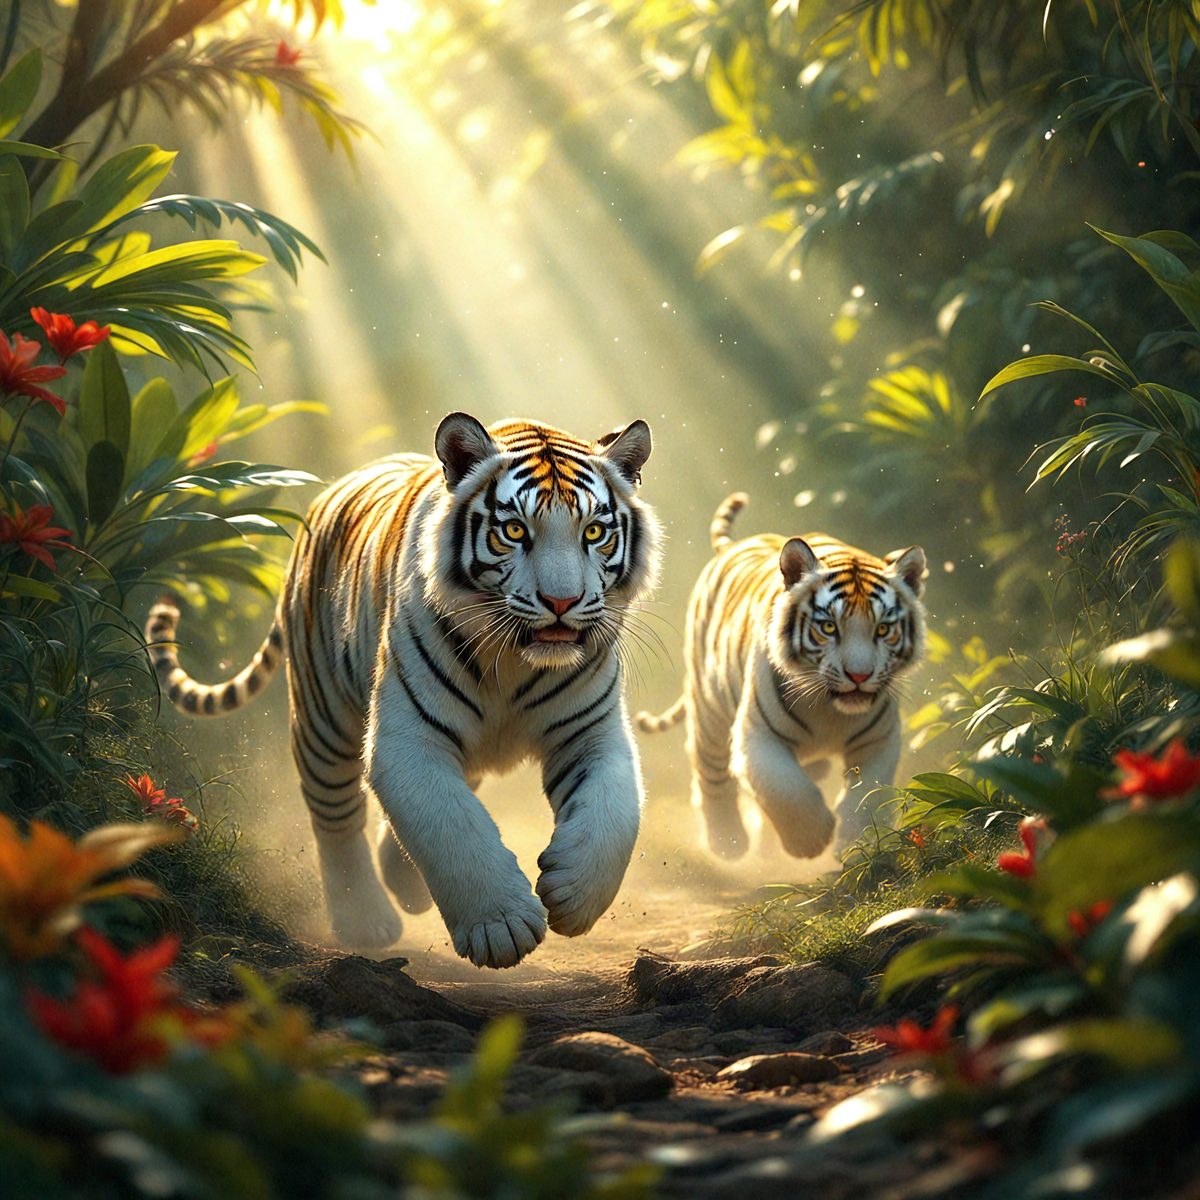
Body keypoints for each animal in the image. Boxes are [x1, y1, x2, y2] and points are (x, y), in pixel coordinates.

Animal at [145, 413, 661, 970]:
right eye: (514, 530)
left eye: (594, 532)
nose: (562, 602)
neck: (515, 664)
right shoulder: (406, 738)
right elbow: (446, 821)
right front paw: (500, 926)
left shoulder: (591, 733)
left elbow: (615, 812)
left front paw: (575, 895)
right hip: (323, 715)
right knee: (335, 814)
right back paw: (364, 918)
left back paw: (404, 884)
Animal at [637, 493, 926, 858]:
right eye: (828, 627)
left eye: (884, 629)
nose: (859, 676)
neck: (831, 712)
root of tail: (734, 546)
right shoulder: (757, 734)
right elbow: (784, 788)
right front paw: (810, 840)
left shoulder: (880, 739)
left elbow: (869, 795)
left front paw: (859, 844)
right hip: (710, 706)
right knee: (710, 770)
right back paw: (728, 842)